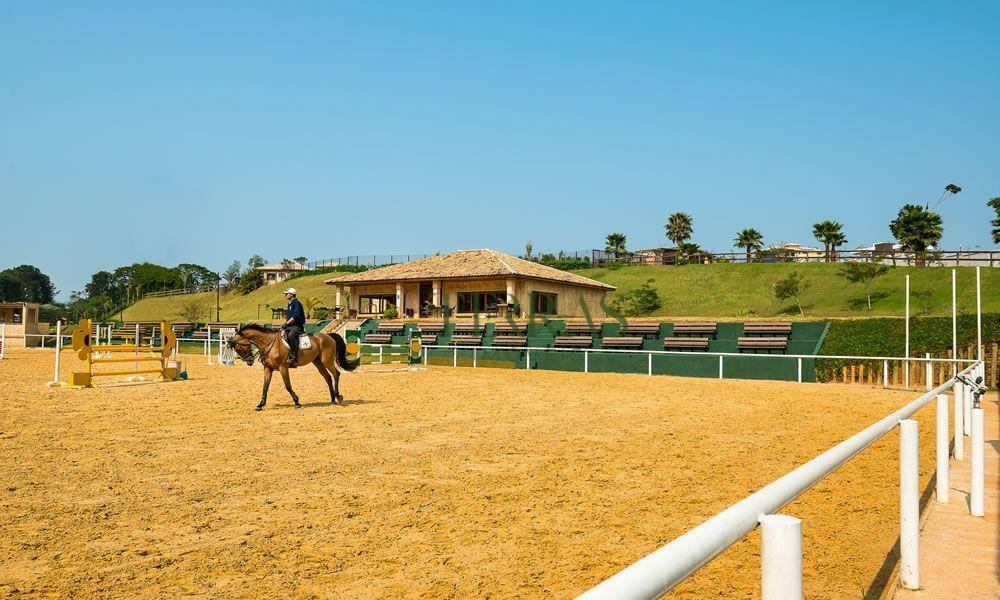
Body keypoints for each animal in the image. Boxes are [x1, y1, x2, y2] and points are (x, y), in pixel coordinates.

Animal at [228, 326, 360, 410]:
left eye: (239, 348)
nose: (249, 361)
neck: (269, 343)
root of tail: (328, 336)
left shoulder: (283, 367)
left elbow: (287, 385)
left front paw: (296, 401)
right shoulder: (268, 368)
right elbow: (265, 387)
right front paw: (260, 404)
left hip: (326, 361)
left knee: (336, 374)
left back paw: (338, 396)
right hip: (318, 362)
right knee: (327, 377)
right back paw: (332, 398)